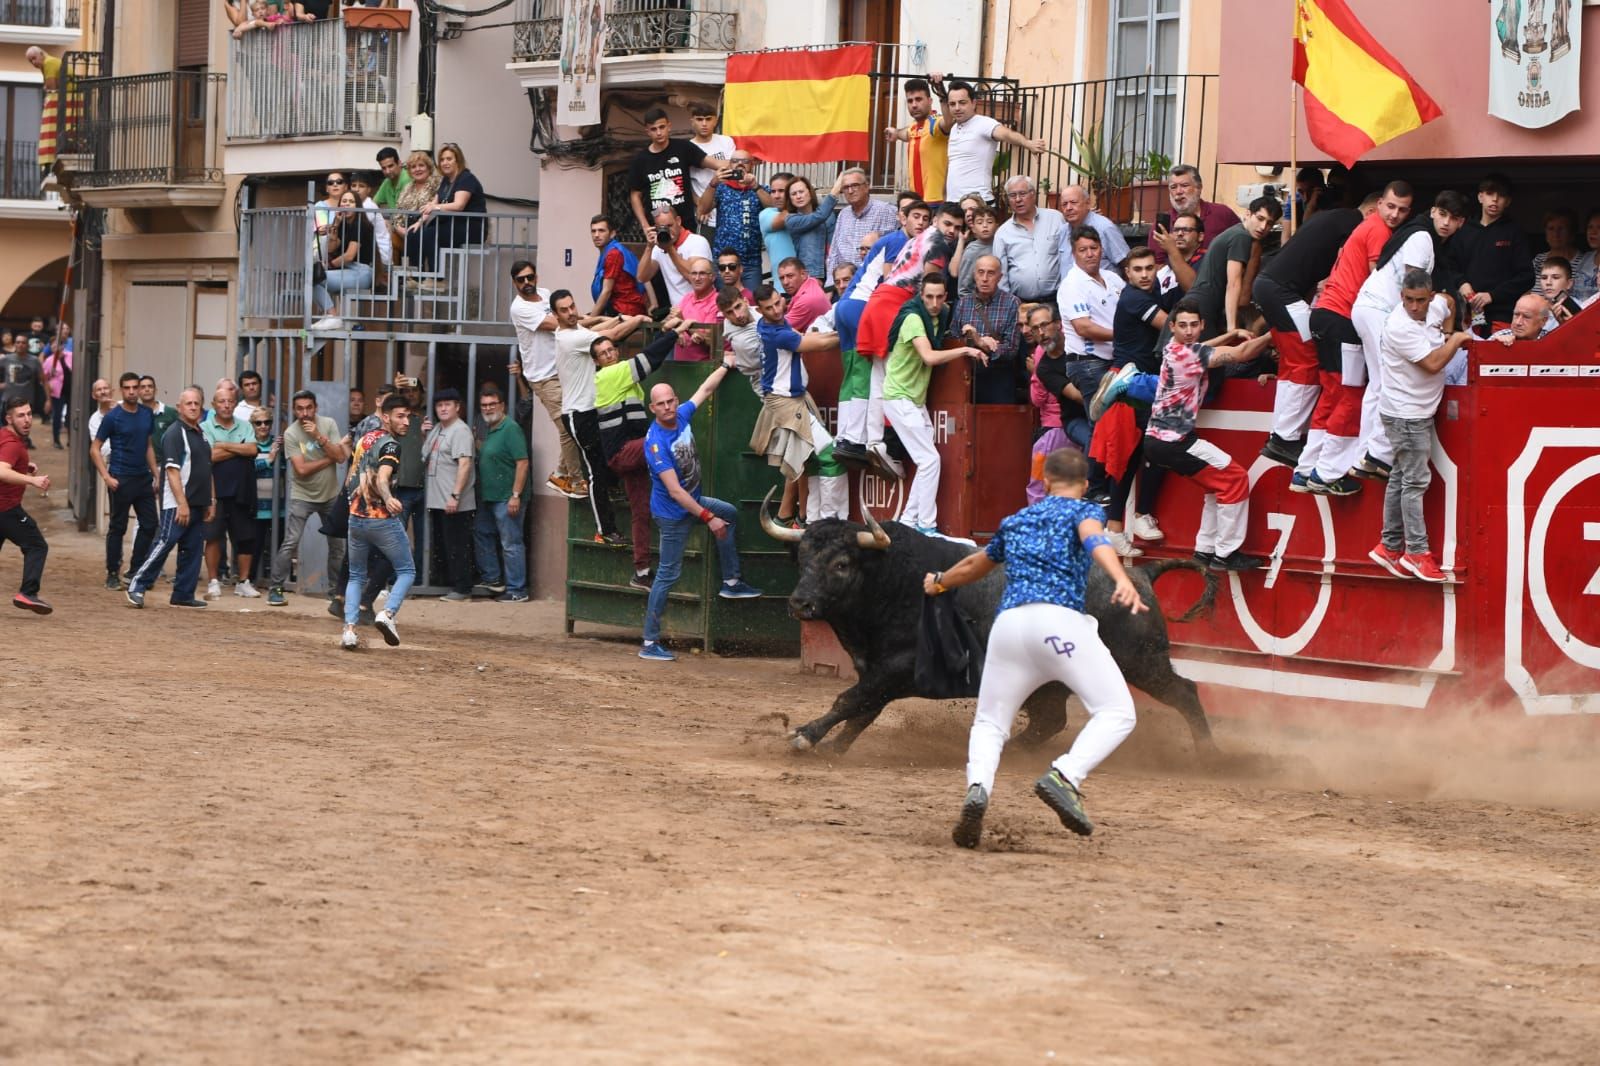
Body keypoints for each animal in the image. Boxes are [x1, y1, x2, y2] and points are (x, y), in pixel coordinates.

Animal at [768, 499, 1216, 755]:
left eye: (842, 564)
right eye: (802, 559)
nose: (799, 603)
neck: (893, 579)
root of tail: (1139, 575)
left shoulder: (895, 669)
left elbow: (849, 701)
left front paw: (805, 735)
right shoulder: (878, 673)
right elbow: (861, 710)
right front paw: (834, 747)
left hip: (1140, 661)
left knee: (1185, 693)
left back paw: (1208, 754)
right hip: (1054, 682)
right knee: (1049, 721)